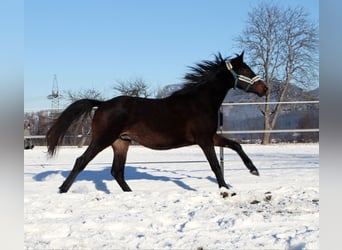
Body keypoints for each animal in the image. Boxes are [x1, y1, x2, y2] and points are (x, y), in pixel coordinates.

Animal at [46, 52, 268, 193]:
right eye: (246, 70)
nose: (264, 88)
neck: (201, 101)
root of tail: (102, 104)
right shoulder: (204, 140)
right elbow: (214, 165)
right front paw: (224, 188)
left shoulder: (211, 137)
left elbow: (236, 145)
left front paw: (253, 170)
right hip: (102, 139)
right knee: (82, 161)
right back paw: (63, 189)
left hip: (121, 143)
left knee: (117, 171)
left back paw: (131, 193)